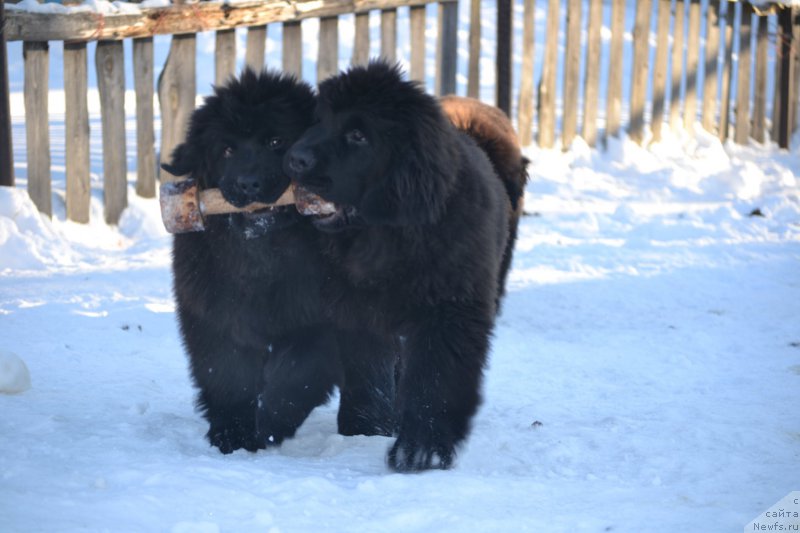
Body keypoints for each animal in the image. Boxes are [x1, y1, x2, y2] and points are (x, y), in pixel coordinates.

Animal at [163, 69, 350, 454]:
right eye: (227, 149)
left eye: (277, 141)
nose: (248, 184)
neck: (262, 257)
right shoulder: (213, 316)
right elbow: (227, 374)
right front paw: (232, 432)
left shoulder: (318, 324)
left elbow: (295, 375)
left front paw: (268, 425)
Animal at [286, 62, 524, 470]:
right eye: (320, 120)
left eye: (358, 135)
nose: (295, 157)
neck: (387, 236)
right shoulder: (356, 309)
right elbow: (370, 371)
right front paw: (364, 429)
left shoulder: (449, 313)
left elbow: (435, 379)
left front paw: (421, 450)